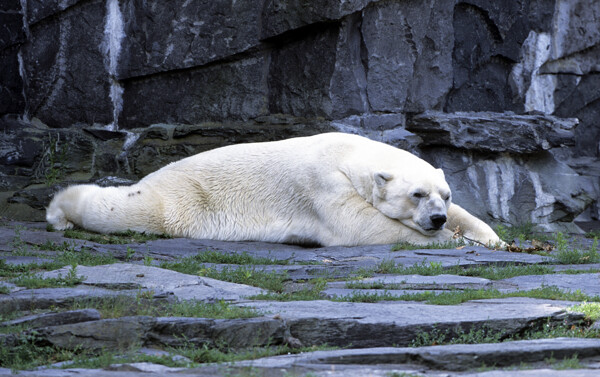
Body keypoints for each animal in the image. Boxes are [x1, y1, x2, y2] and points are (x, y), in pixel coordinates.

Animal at [45, 132, 502, 247]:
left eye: (445, 194)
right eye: (416, 195)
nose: (437, 218)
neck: (349, 152)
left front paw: (491, 239)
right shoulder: (321, 184)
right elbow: (357, 226)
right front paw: (449, 239)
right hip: (181, 199)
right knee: (125, 208)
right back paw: (60, 211)